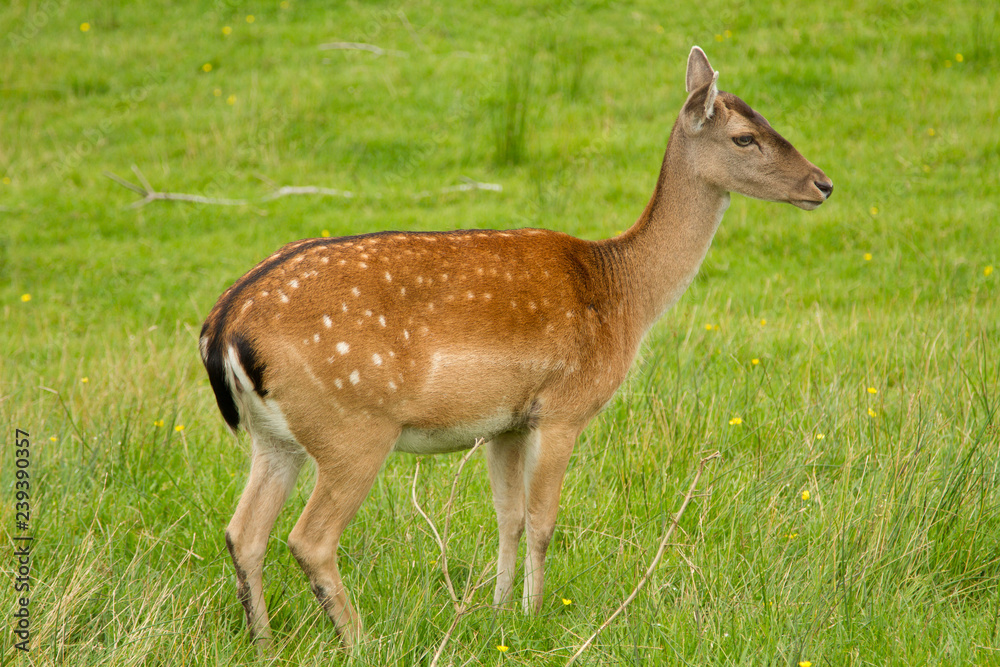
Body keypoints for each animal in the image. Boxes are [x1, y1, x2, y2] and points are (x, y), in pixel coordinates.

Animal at [199, 46, 832, 649]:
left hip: (276, 439)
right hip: (352, 428)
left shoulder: (503, 423)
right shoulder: (563, 409)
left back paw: (263, 641)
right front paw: (533, 613)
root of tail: (223, 328)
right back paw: (359, 639)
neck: (623, 293)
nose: (822, 184)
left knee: (243, 532)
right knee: (308, 538)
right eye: (744, 136)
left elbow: (507, 517)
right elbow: (542, 520)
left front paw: (498, 612)